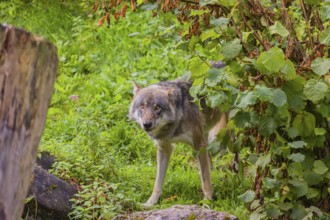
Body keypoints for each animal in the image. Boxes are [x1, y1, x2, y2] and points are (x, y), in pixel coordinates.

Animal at [129, 78, 227, 206]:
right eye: (142, 106)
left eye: (157, 107)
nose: (147, 124)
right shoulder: (164, 148)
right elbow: (157, 182)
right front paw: (150, 203)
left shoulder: (199, 144)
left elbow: (205, 180)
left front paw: (207, 201)